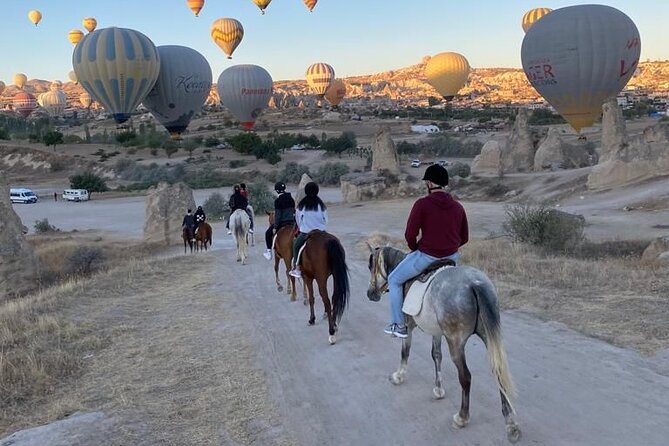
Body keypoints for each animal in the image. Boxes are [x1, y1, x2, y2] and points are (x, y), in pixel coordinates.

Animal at [366, 244, 520, 442]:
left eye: (371, 266)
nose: (370, 294)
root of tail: (475, 283)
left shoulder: (408, 326)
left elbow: (405, 352)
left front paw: (398, 376)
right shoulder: (436, 332)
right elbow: (436, 355)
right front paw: (438, 389)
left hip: (456, 343)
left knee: (465, 377)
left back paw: (462, 417)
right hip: (488, 336)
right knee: (498, 371)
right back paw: (510, 424)